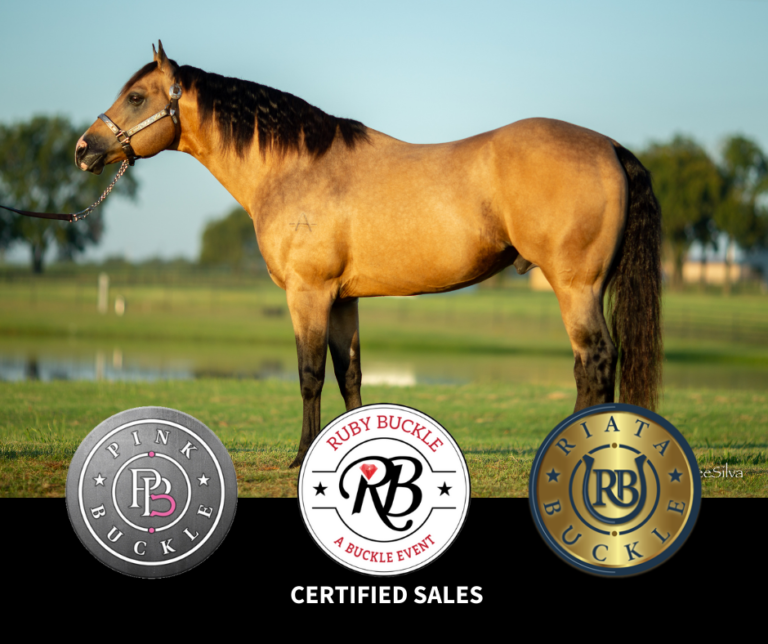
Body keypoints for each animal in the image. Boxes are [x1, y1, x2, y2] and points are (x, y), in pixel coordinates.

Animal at [76, 42, 662, 468]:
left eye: (136, 97)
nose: (84, 149)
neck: (296, 168)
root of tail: (610, 147)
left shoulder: (308, 294)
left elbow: (309, 374)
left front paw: (300, 456)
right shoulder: (342, 299)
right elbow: (349, 374)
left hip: (576, 287)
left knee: (594, 362)